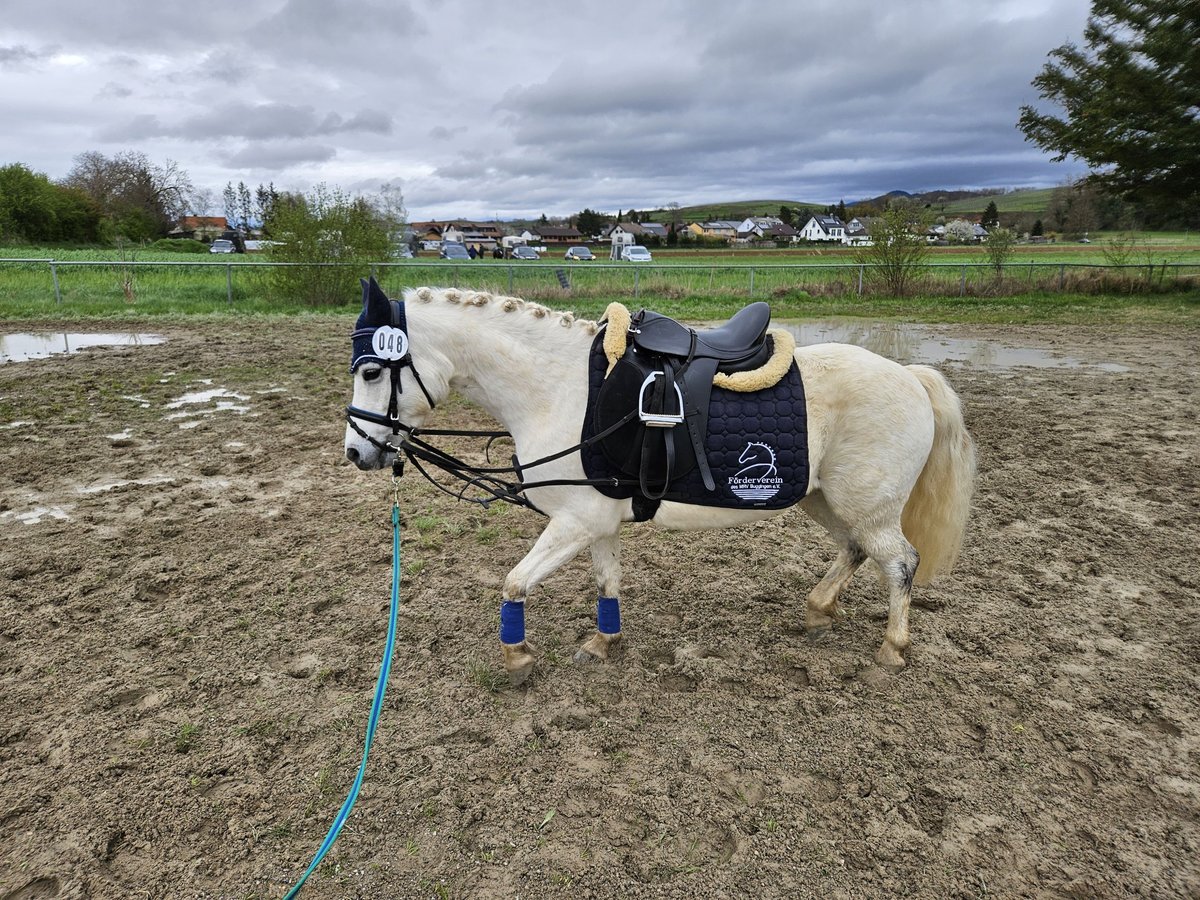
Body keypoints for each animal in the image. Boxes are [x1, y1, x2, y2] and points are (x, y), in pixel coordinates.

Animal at [345, 282, 974, 681]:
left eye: (373, 369)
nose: (356, 452)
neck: (559, 389)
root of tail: (911, 378)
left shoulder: (574, 521)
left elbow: (514, 583)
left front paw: (517, 657)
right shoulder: (597, 522)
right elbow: (605, 582)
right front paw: (604, 642)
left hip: (866, 505)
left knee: (900, 562)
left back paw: (892, 649)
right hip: (825, 500)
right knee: (856, 550)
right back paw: (819, 610)